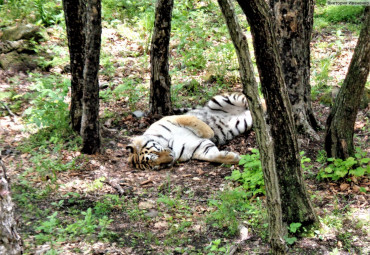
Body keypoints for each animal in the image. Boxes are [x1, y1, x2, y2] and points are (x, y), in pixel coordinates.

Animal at [125, 92, 253, 170]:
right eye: (158, 165)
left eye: (156, 152)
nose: (171, 157)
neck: (170, 145)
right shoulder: (199, 148)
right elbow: (213, 156)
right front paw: (235, 158)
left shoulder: (171, 118)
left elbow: (190, 120)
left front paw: (209, 132)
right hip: (245, 122)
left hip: (222, 100)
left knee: (249, 99)